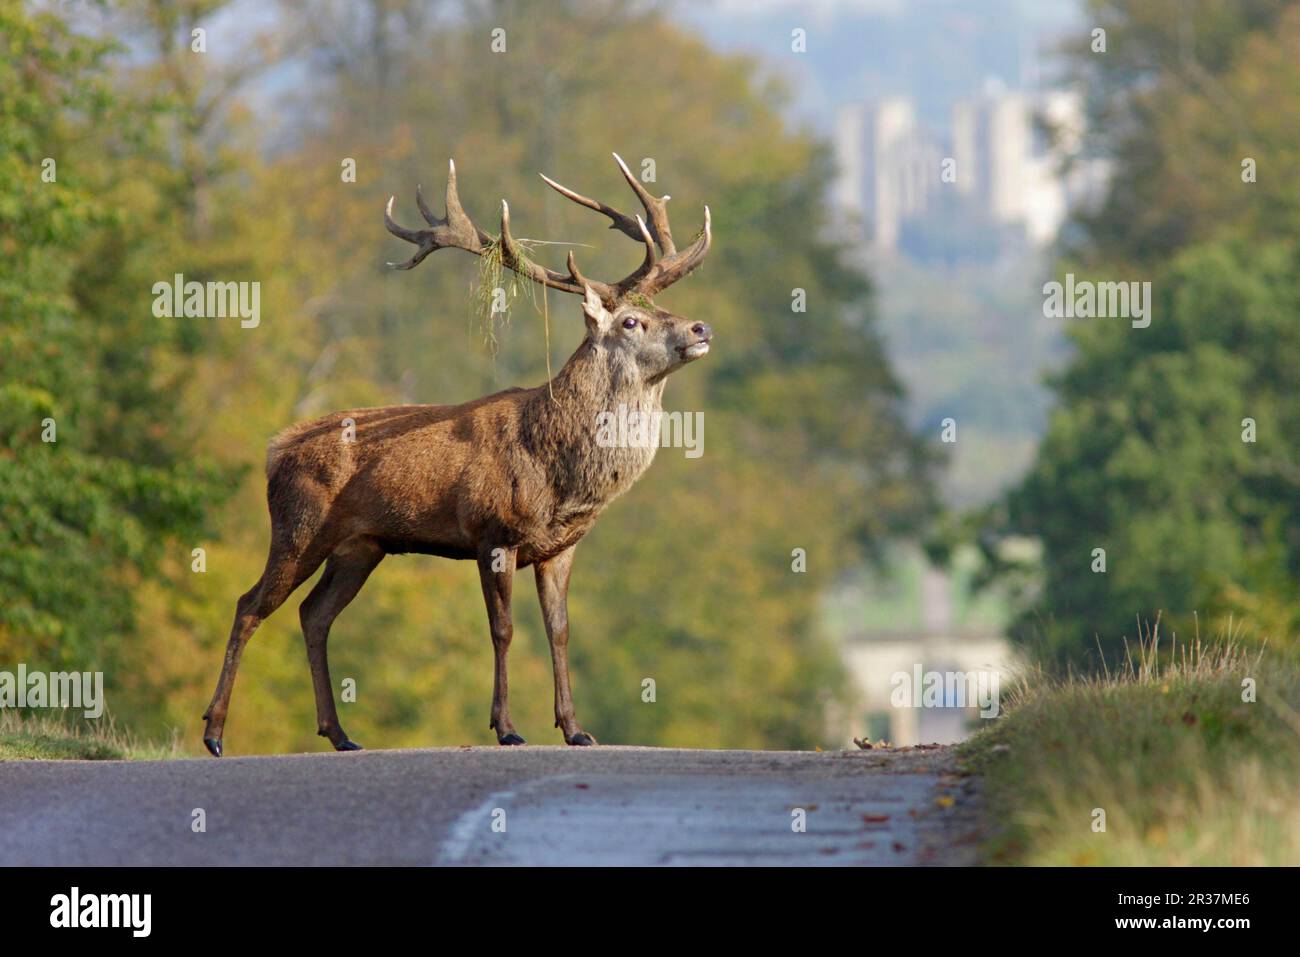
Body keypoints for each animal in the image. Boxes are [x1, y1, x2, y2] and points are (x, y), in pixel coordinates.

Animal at [201, 154, 713, 756]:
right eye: (632, 322)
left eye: (659, 306)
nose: (700, 327)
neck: (558, 471)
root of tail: (274, 450)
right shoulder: (492, 530)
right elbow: (503, 630)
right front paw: (507, 728)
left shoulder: (561, 547)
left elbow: (560, 631)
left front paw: (575, 729)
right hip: (298, 527)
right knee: (248, 605)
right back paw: (214, 733)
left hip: (361, 546)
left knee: (314, 614)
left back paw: (341, 734)